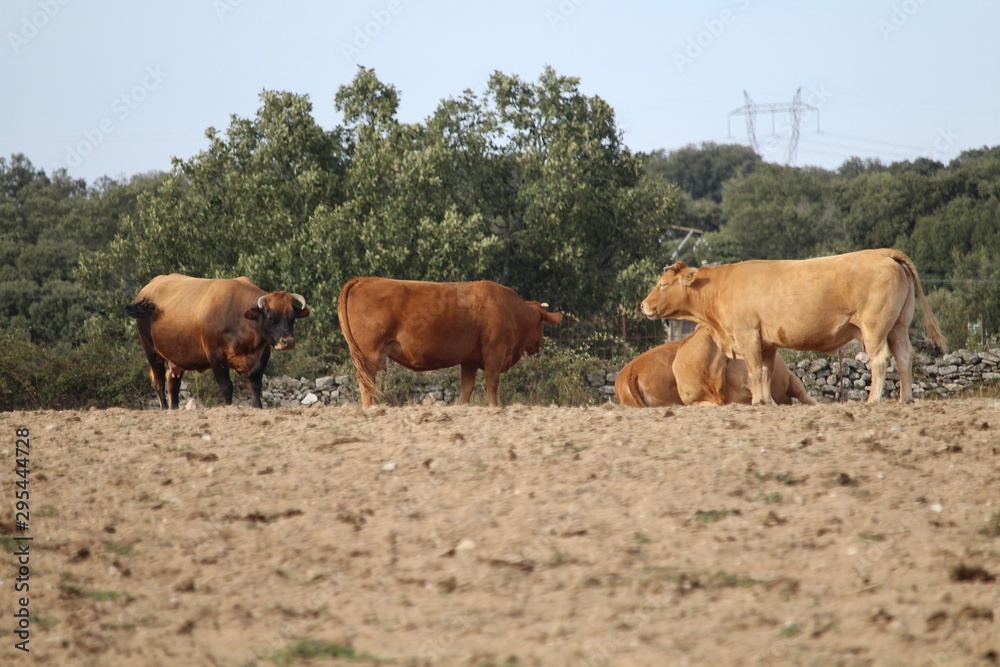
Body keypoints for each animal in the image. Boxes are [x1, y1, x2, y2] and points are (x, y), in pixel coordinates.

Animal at [125, 274, 309, 409]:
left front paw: (257, 407)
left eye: (292, 317)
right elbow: (226, 386)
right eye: (270, 317)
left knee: (173, 383)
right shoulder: (215, 356)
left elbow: (256, 385)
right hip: (151, 349)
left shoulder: (262, 355)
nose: (288, 342)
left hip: (175, 358)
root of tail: (147, 290)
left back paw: (174, 408)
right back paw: (164, 407)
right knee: (158, 381)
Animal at [337, 277, 563, 407]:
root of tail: (365, 279)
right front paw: (494, 408)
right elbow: (492, 382)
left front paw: (463, 408)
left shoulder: (470, 360)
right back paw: (371, 409)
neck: (512, 310)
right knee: (367, 382)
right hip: (370, 354)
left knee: (369, 383)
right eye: (541, 325)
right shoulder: (494, 351)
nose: (538, 345)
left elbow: (467, 387)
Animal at [640, 248, 946, 405]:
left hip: (875, 328)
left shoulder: (747, 335)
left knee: (881, 359)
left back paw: (873, 400)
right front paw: (767, 402)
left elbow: (754, 372)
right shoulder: (766, 342)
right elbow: (764, 373)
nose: (643, 305)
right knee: (904, 356)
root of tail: (882, 253)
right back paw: (905, 399)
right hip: (898, 326)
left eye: (662, 284)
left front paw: (758, 403)